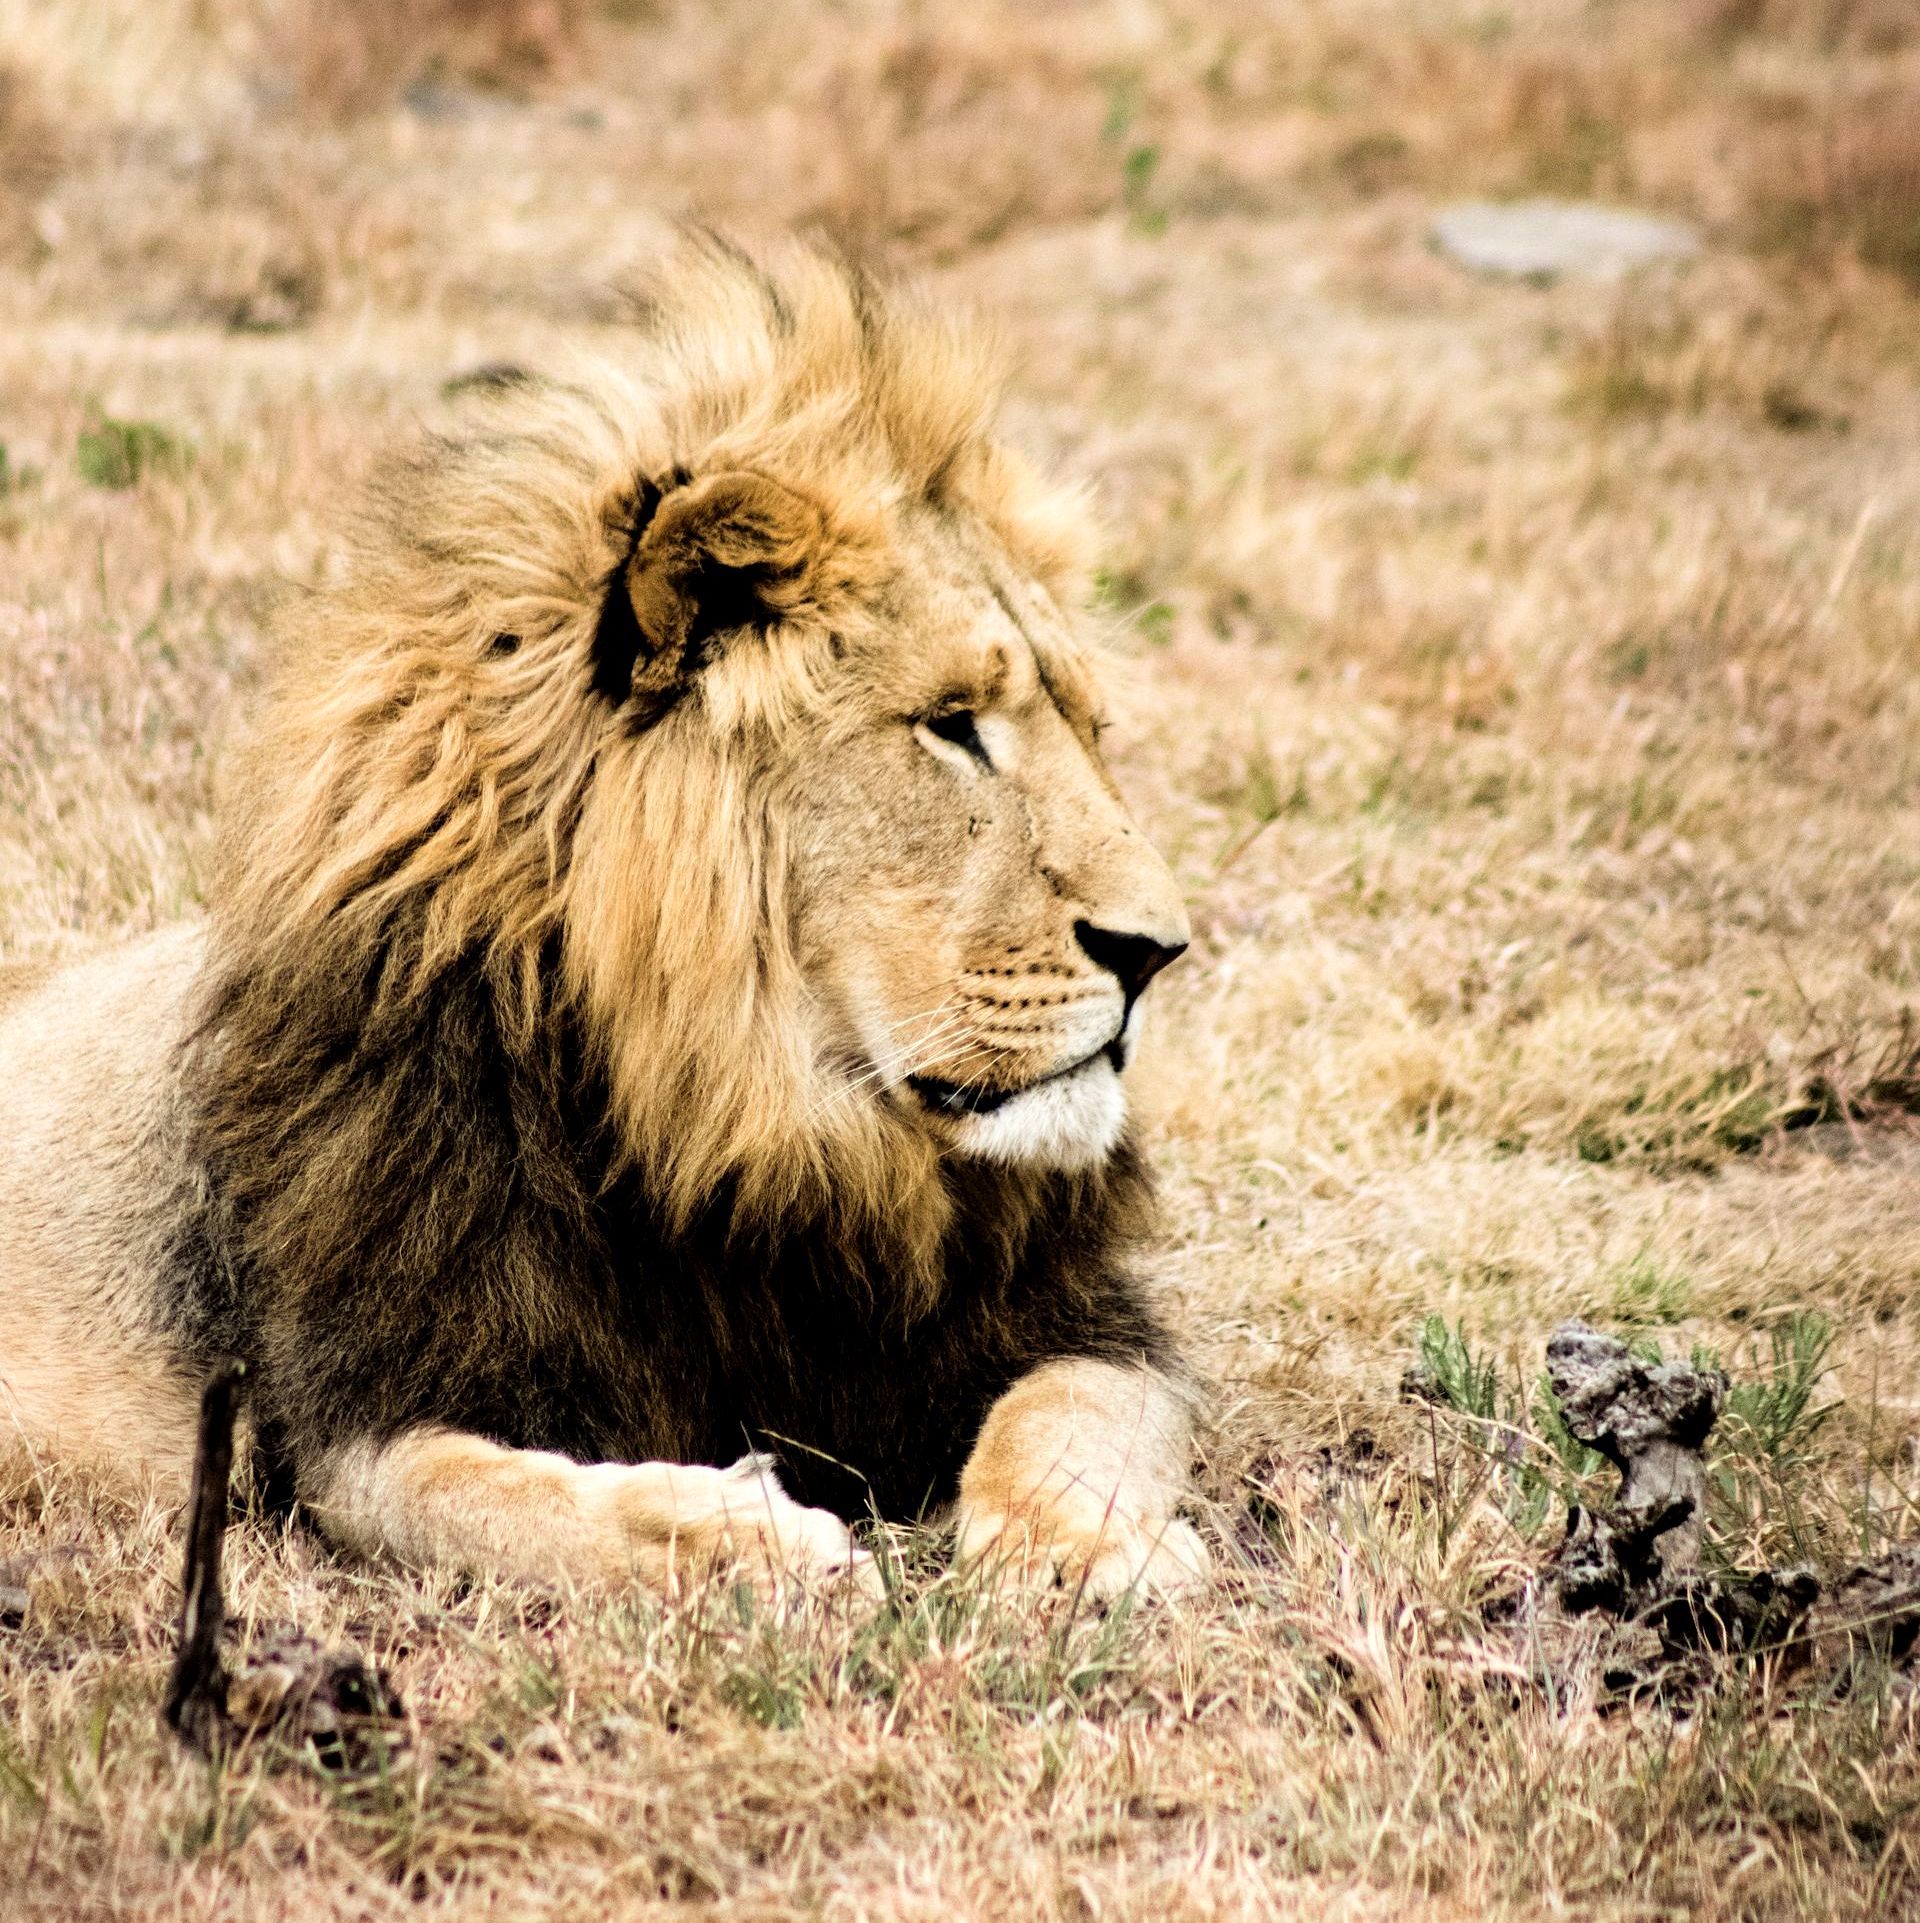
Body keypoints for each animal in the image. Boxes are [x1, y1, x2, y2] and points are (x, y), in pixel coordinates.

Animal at [0, 237, 1206, 1600]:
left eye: (1090, 729)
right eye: (950, 726)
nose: (1158, 954)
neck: (746, 1122)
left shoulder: (1077, 1322)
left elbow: (1076, 1412)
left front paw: (1072, 1552)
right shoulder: (358, 1417)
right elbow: (507, 1498)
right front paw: (748, 1538)